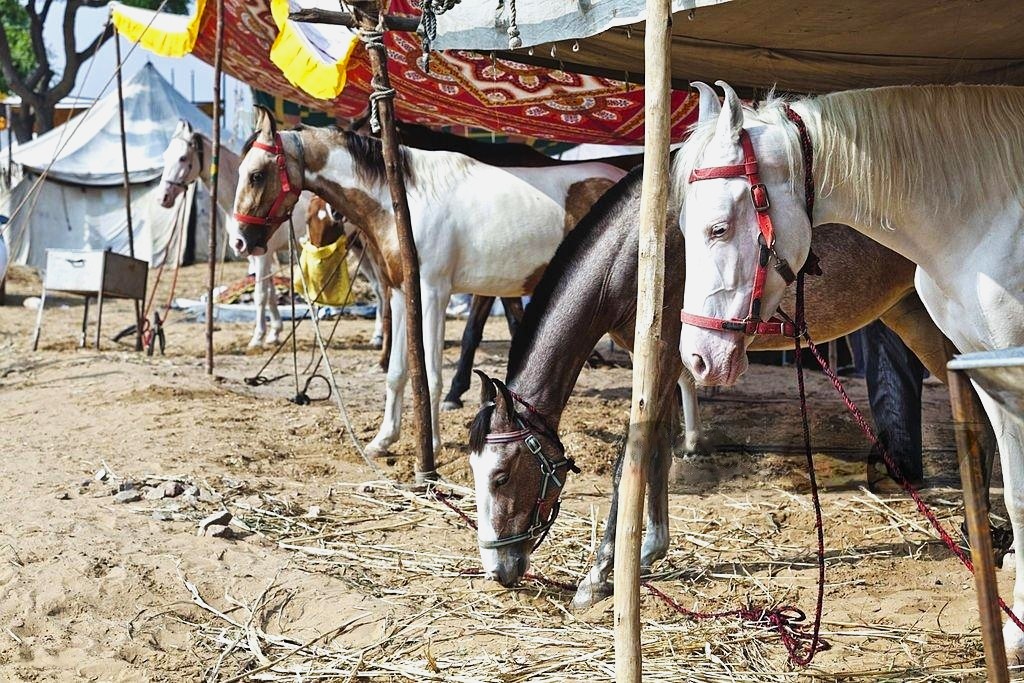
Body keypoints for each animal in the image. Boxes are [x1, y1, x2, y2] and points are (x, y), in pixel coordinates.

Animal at [471, 167, 950, 606]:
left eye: (501, 476)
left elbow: (631, 460)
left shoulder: (663, 354)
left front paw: (600, 574)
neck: (636, 248)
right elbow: (659, 452)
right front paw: (648, 551)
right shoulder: (657, 362)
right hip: (915, 316)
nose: (497, 570)